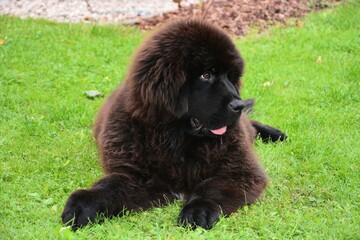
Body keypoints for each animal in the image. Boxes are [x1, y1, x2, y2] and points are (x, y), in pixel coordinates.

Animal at [62, 19, 286, 231]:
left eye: (230, 76)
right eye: (206, 75)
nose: (237, 105)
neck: (175, 136)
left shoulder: (240, 171)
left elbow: (211, 188)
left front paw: (198, 211)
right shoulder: (137, 176)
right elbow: (109, 188)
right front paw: (81, 205)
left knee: (251, 125)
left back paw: (276, 134)